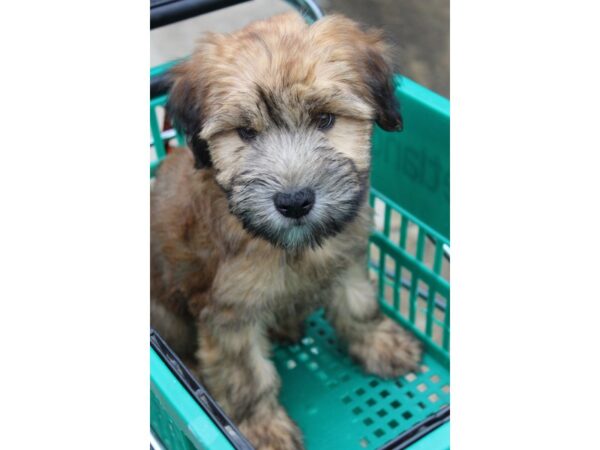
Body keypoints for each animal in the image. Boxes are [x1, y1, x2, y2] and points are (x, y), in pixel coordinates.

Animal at [150, 12, 422, 448]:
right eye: (246, 132)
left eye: (325, 119)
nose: (294, 202)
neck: (293, 247)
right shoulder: (230, 315)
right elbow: (247, 376)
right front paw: (264, 429)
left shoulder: (346, 255)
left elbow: (359, 305)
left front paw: (381, 344)